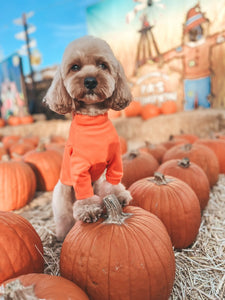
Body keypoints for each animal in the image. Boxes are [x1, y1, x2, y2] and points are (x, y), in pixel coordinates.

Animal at [43, 35, 133, 241]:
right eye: (75, 67)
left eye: (102, 65)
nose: (90, 81)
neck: (93, 121)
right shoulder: (79, 168)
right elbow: (84, 194)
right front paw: (89, 209)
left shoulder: (114, 161)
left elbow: (112, 182)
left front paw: (118, 196)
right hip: (62, 195)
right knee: (65, 219)